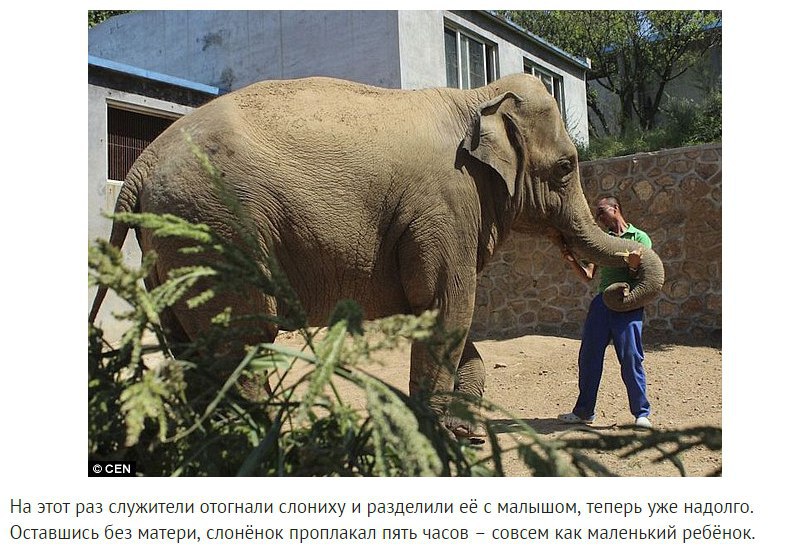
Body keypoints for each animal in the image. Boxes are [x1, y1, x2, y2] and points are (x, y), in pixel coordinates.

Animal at [88, 73, 664, 438]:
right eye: (566, 167)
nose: (623, 274)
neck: (476, 96)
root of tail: (140, 164)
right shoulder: (446, 204)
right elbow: (449, 311)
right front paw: (435, 435)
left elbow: (444, 320)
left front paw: (463, 433)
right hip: (219, 229)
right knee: (242, 338)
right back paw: (262, 439)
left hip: (176, 245)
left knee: (192, 343)